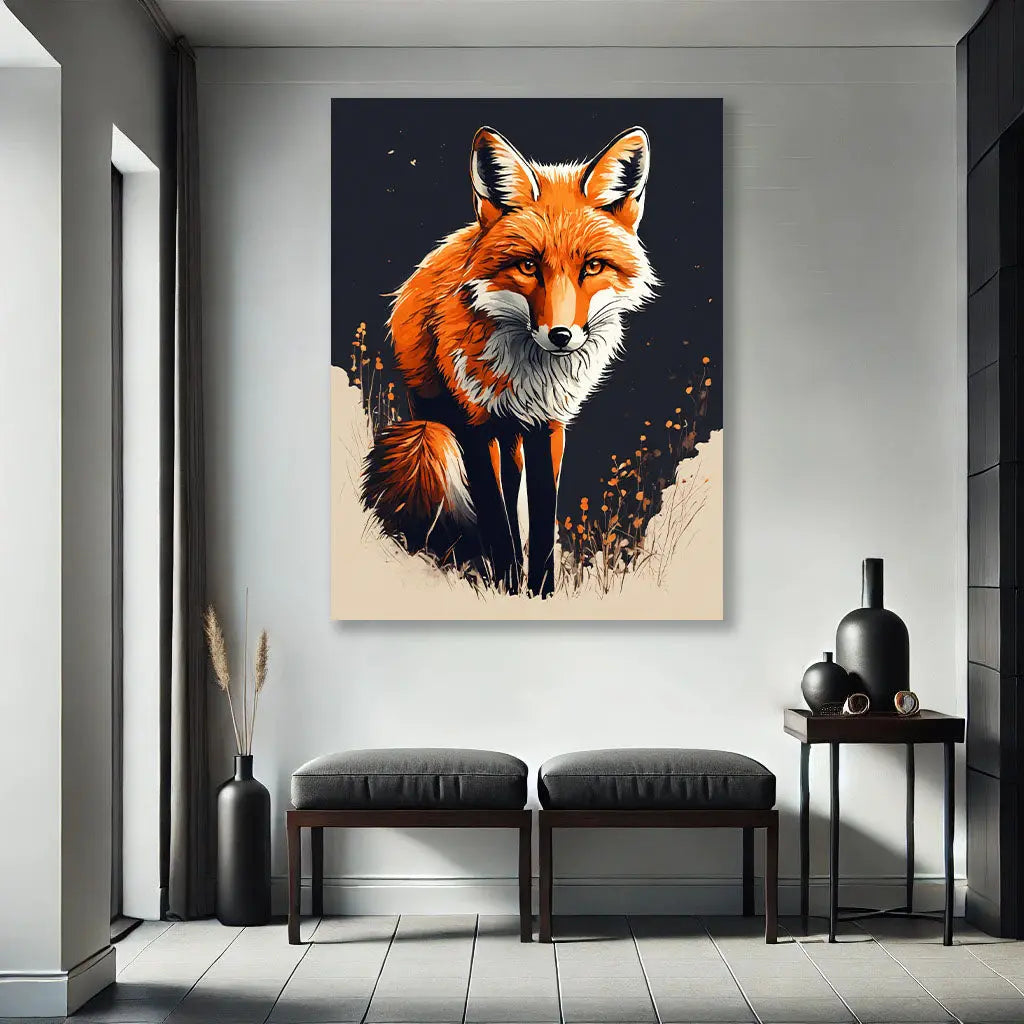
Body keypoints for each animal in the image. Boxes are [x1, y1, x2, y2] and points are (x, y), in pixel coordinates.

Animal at [361, 124, 658, 597]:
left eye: (593, 267)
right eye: (528, 266)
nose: (561, 336)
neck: (526, 375)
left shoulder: (548, 426)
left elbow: (540, 518)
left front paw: (540, 593)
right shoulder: (474, 427)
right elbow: (496, 520)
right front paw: (505, 587)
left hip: (511, 438)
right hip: (437, 426)